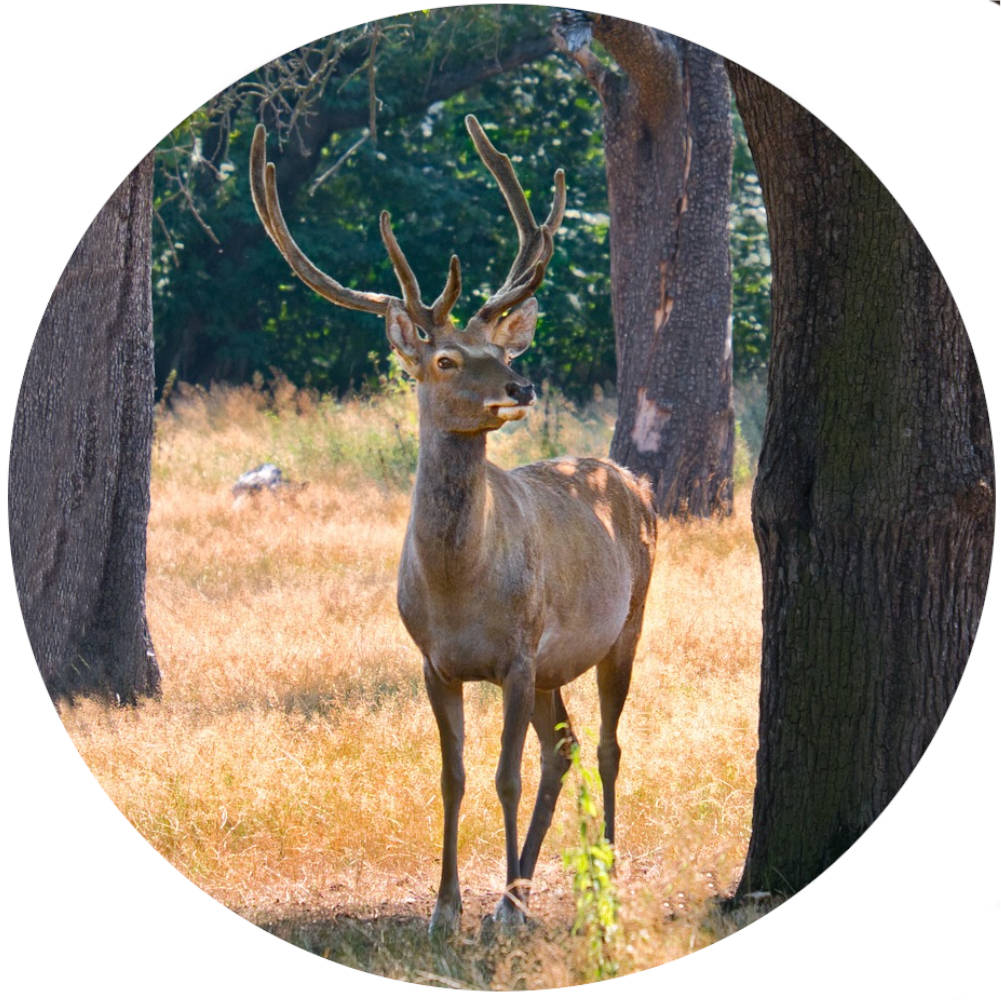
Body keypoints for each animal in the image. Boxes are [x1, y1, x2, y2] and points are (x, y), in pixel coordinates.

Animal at [249, 116, 657, 936]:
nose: (520, 385)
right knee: (565, 748)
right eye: (444, 358)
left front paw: (496, 908)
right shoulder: (434, 661)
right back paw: (529, 883)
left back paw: (596, 874)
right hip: (558, 663)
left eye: (499, 348)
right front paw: (448, 907)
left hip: (625, 620)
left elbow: (504, 776)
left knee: (605, 745)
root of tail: (632, 477)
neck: (457, 588)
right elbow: (453, 774)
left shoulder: (519, 653)